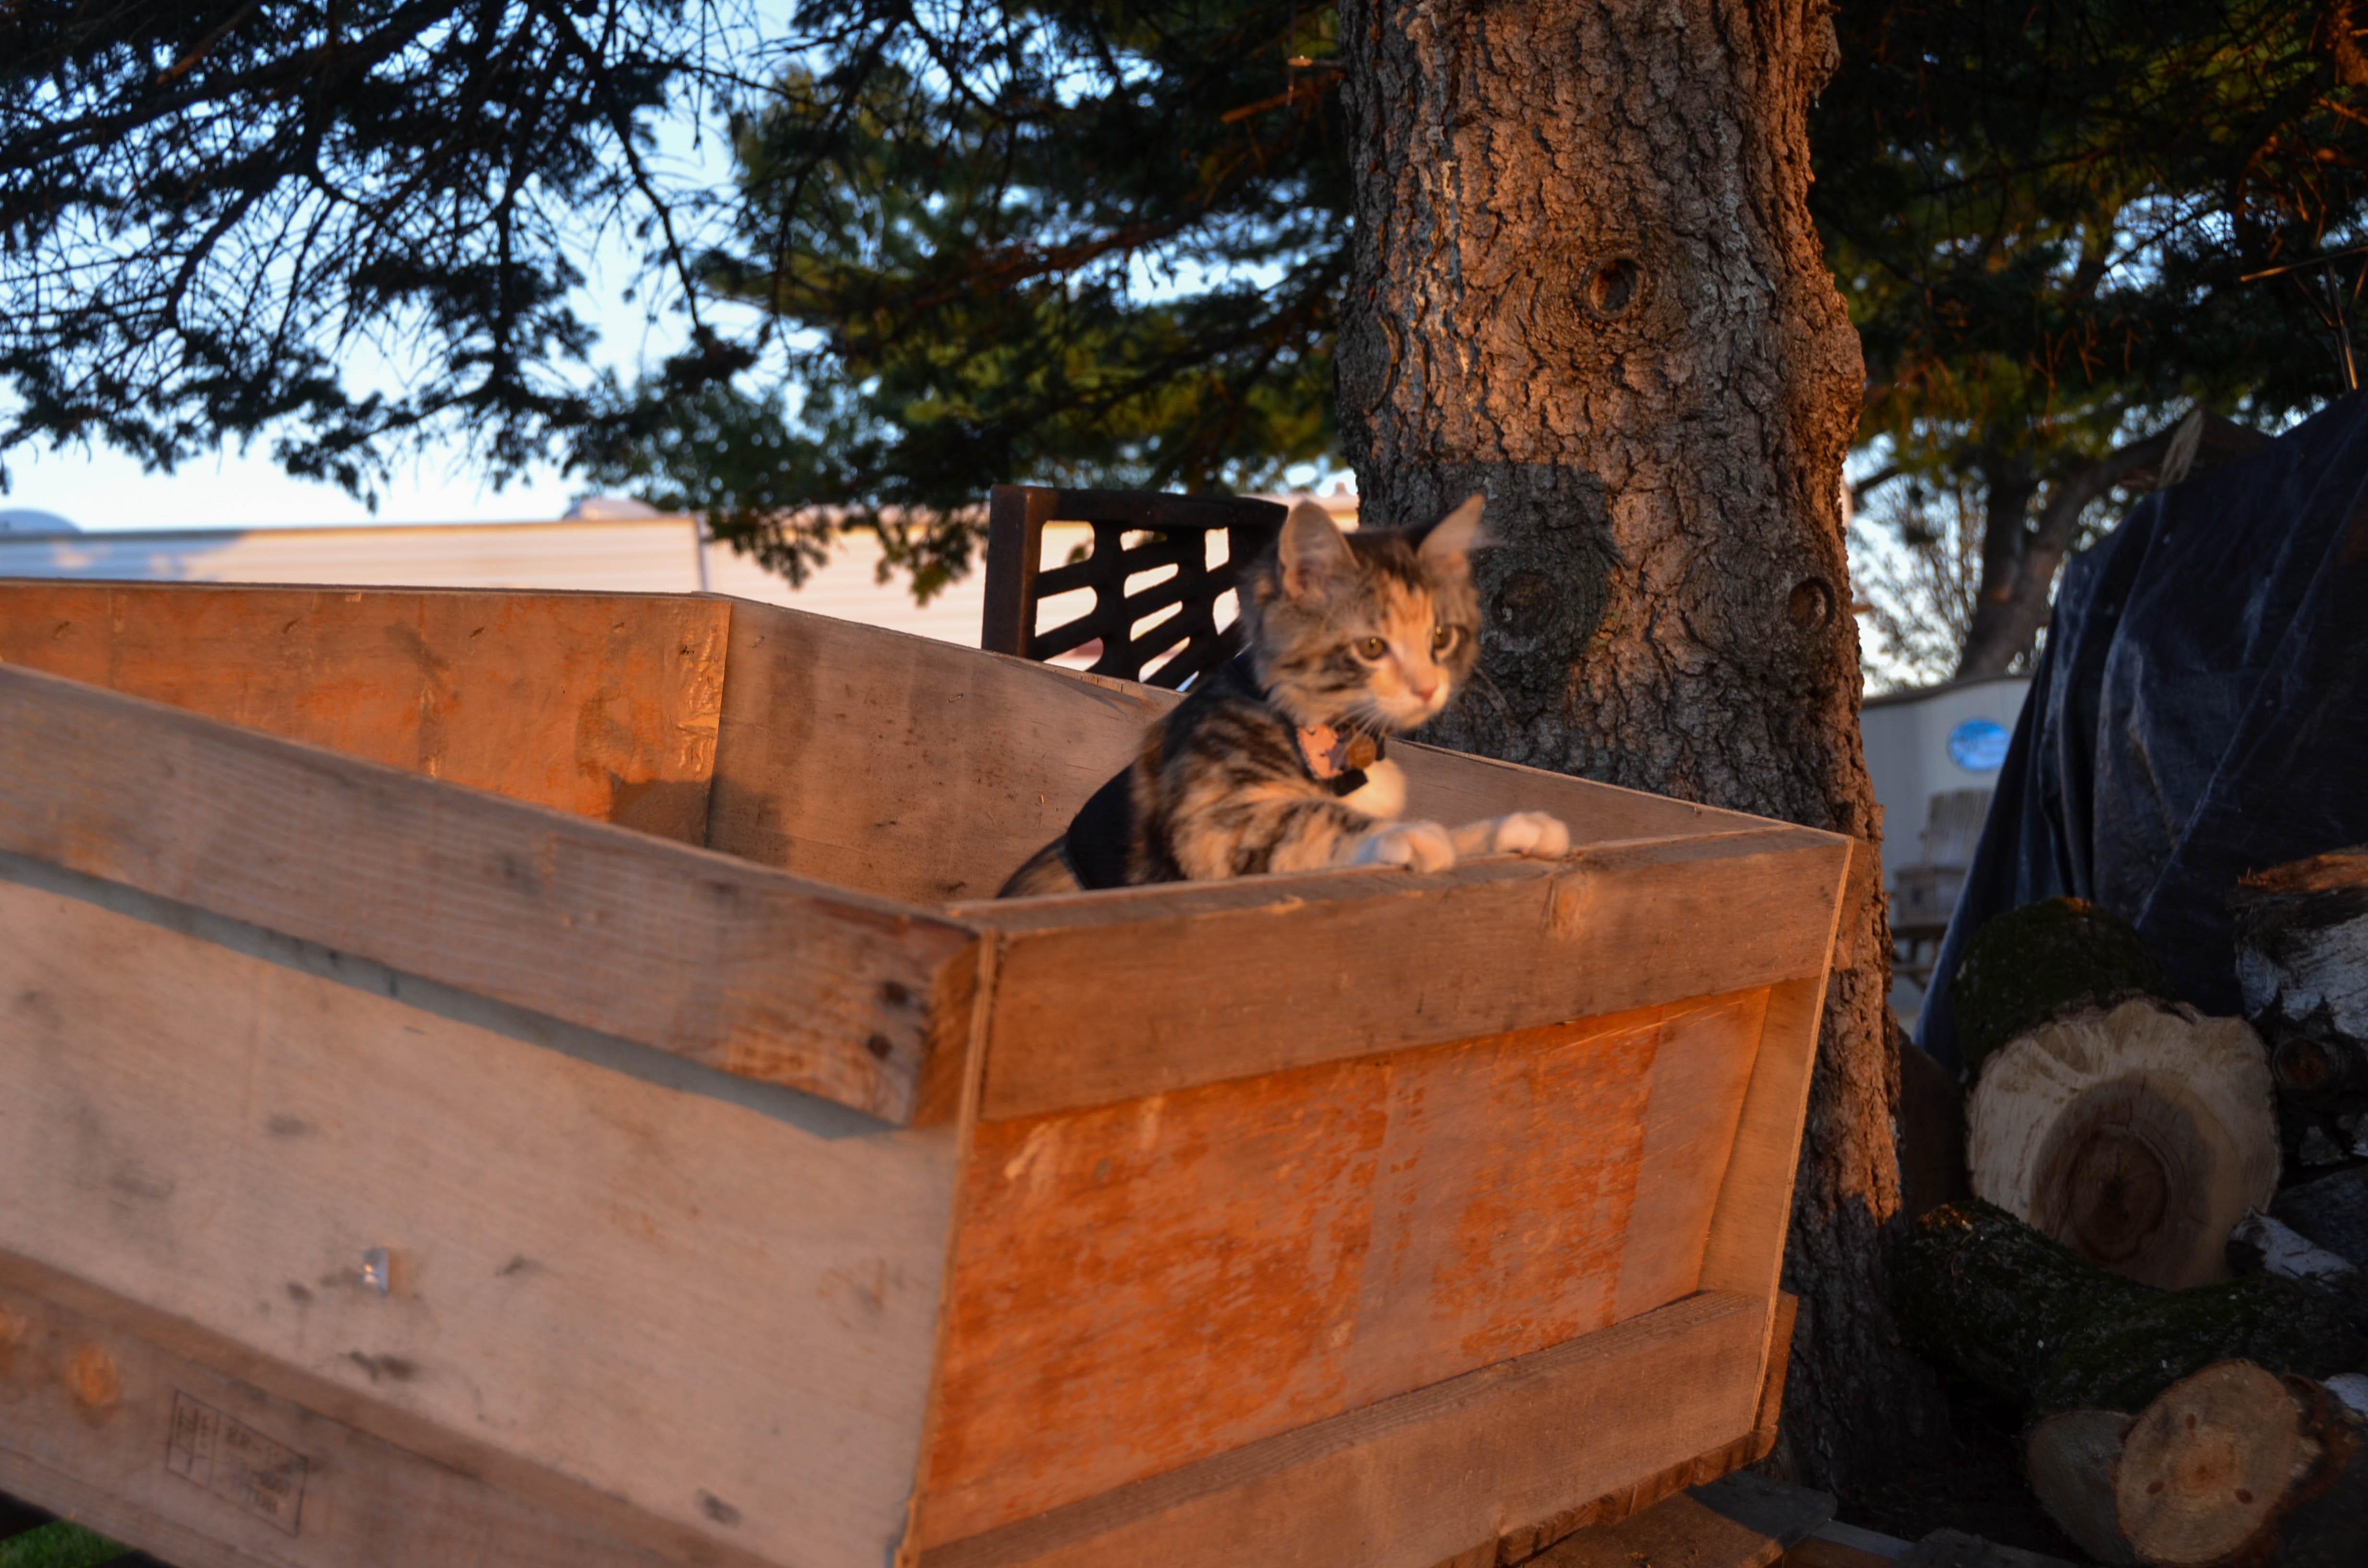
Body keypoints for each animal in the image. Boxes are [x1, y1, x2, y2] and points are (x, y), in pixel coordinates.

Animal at [999, 497, 1572, 905]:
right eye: (1371, 647)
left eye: (1440, 638)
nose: (1428, 687)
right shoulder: (1207, 826)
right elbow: (1309, 818)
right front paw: (1410, 834)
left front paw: (1510, 830)